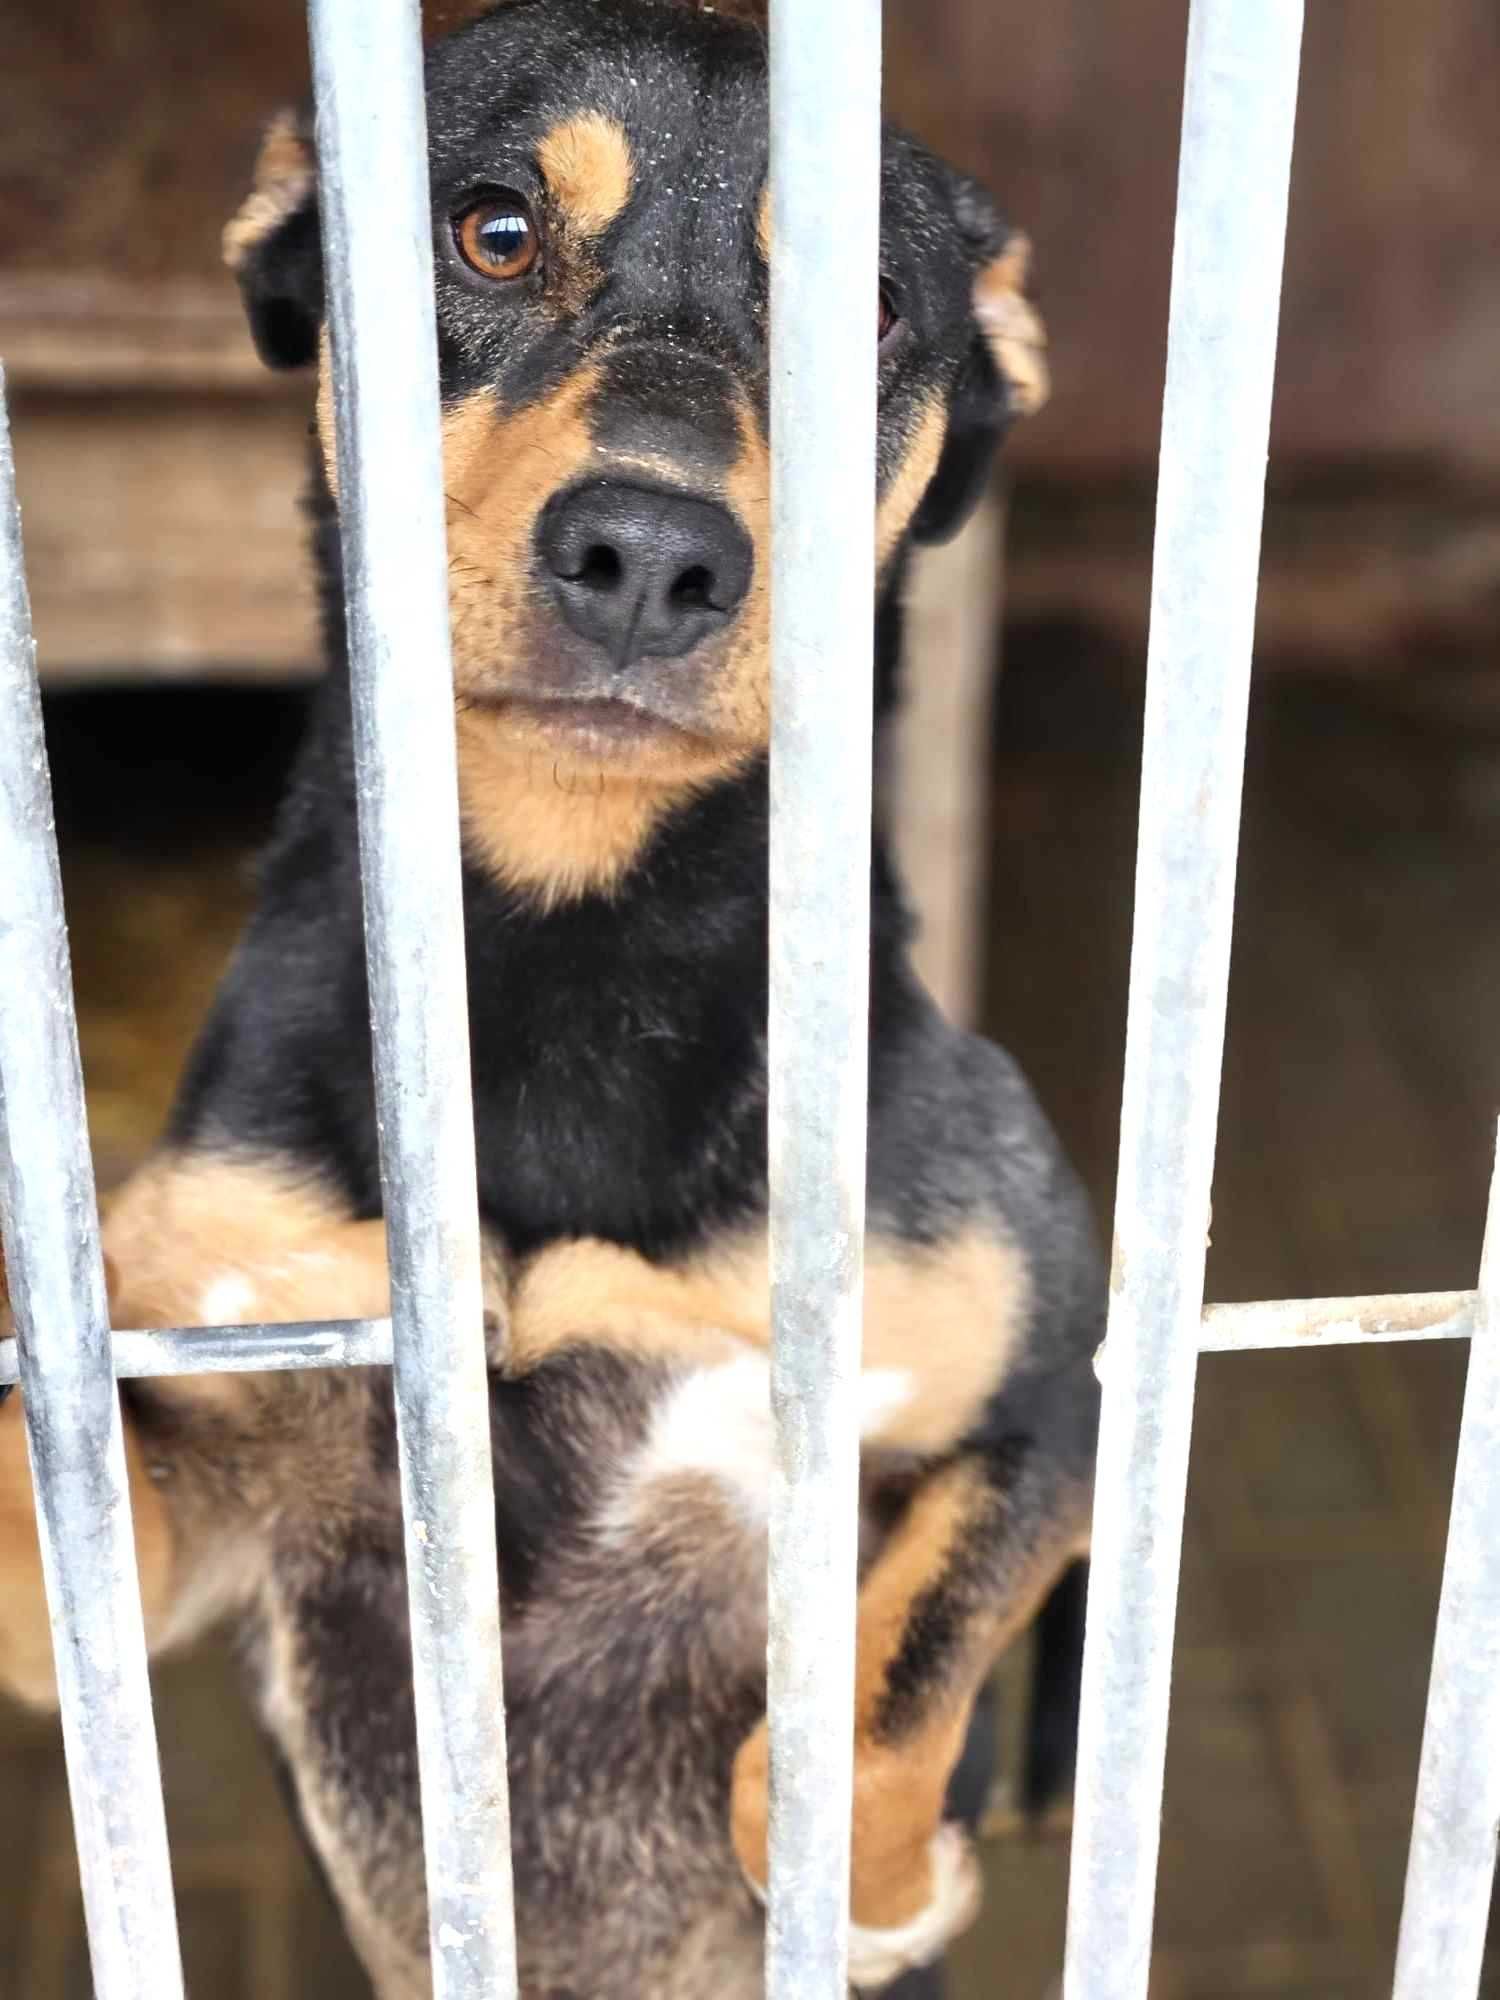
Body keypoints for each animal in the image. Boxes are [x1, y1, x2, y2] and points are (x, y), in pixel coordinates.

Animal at [0, 3, 1104, 2000]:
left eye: (868, 306)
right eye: (492, 233)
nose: (652, 557)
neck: (581, 938)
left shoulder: (1053, 1396)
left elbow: (887, 1686)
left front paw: (886, 1881)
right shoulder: (136, 1539)